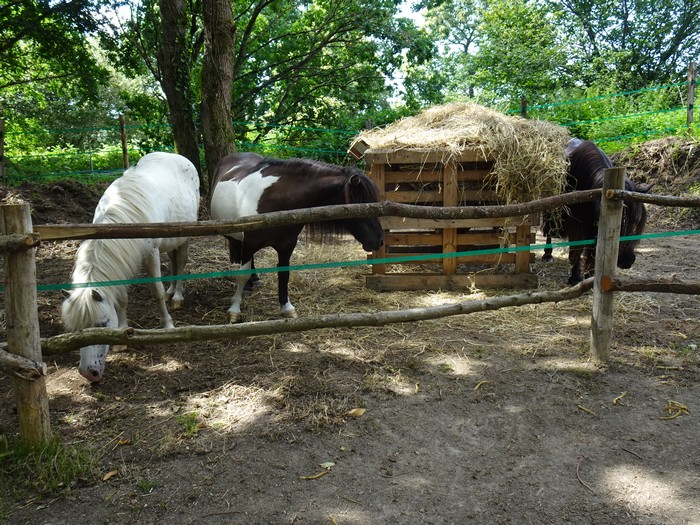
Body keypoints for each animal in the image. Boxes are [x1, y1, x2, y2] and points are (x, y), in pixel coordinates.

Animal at [60, 151, 200, 380]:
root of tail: (175, 155)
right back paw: (172, 291)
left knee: (180, 261)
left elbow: (156, 291)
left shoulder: (151, 254)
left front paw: (168, 325)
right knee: (172, 259)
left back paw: (178, 296)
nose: (88, 373)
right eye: (75, 329)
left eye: (102, 324)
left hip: (184, 235)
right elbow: (122, 298)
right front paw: (122, 335)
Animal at [211, 151, 386, 322]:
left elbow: (284, 274)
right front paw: (234, 310)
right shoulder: (250, 242)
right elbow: (242, 274)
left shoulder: (287, 245)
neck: (276, 200)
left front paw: (286, 308)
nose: (379, 241)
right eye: (362, 204)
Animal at [544, 137, 652, 284]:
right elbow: (577, 247)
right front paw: (575, 277)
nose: (626, 261)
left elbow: (593, 250)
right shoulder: (576, 223)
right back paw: (547, 255)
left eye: (637, 221)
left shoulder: (593, 224)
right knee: (549, 229)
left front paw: (590, 275)